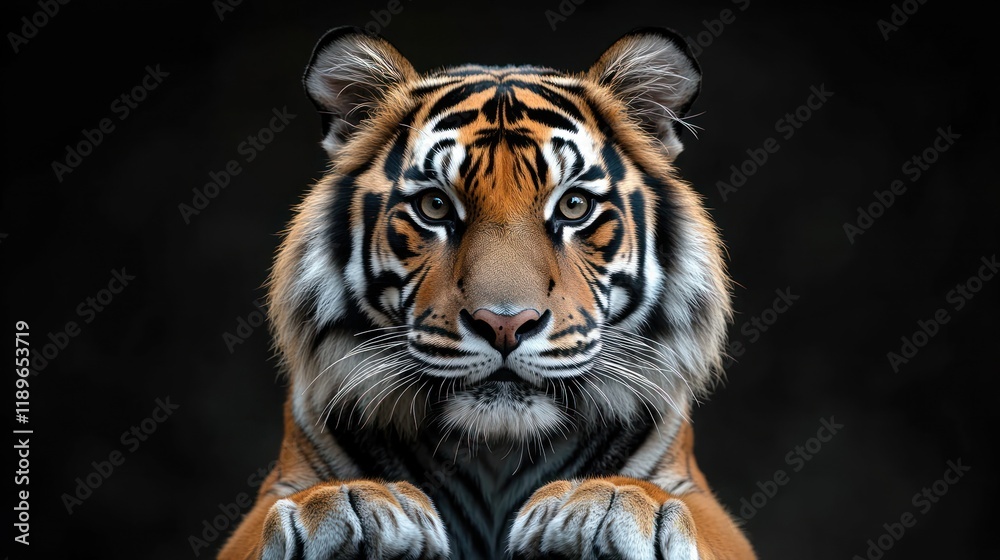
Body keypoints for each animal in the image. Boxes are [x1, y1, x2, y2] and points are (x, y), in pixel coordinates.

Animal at [219, 25, 756, 560]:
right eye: (435, 206)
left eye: (574, 206)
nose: (504, 324)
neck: (498, 451)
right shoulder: (278, 485)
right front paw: (349, 500)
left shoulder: (695, 492)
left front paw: (613, 500)